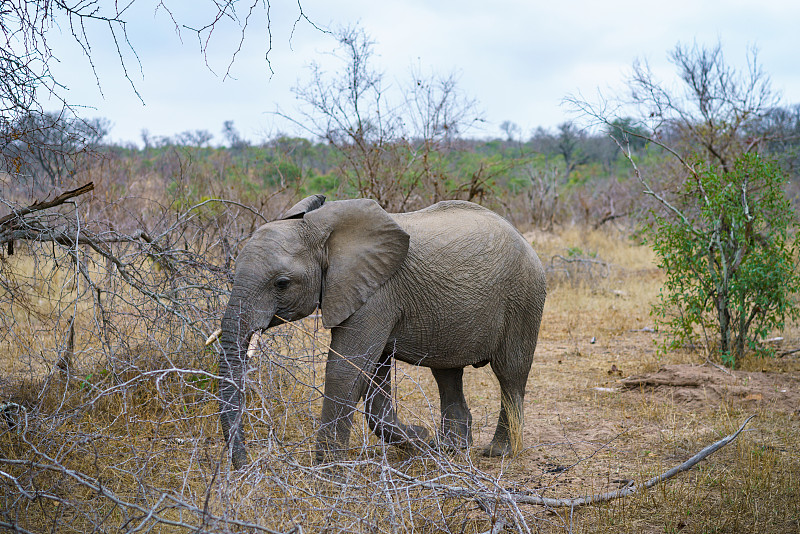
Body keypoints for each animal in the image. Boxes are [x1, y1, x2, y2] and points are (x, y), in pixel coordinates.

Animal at [217, 196, 544, 468]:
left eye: (282, 283)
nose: (245, 465)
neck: (319, 229)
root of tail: (522, 237)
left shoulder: (377, 294)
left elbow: (346, 370)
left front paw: (327, 472)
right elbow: (373, 379)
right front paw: (420, 439)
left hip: (524, 297)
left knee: (510, 373)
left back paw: (498, 452)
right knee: (447, 372)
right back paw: (450, 448)